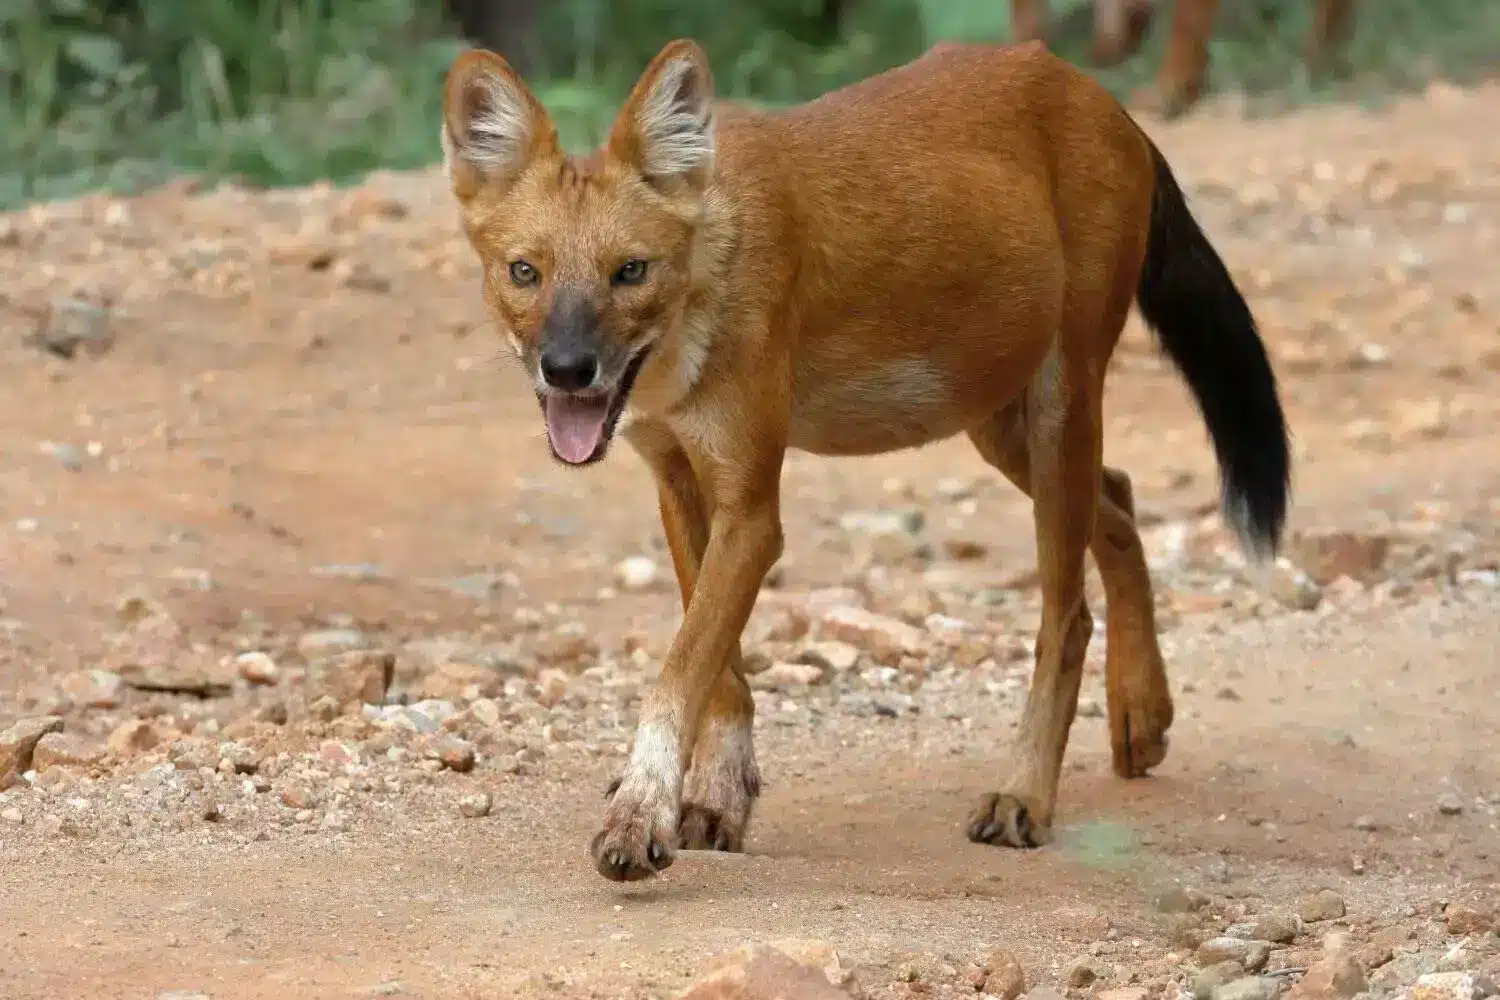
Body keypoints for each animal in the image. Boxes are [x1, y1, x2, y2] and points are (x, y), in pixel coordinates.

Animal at [438, 37, 1290, 881]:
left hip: (1059, 401)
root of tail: (1103, 98)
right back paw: (1142, 713)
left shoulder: (752, 509)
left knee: (1067, 614)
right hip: (992, 418)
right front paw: (717, 799)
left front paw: (640, 815)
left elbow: (682, 668)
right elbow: (720, 672)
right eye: (525, 272)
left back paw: (1024, 793)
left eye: (631, 271)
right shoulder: (676, 478)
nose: (568, 369)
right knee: (1120, 499)